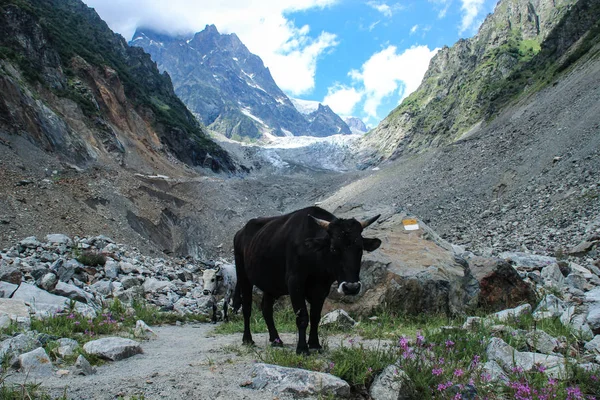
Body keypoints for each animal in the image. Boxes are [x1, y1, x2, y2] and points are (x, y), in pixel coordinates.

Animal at [233, 206, 380, 354]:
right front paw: (302, 348)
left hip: (271, 285)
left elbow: (315, 316)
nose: (351, 287)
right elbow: (302, 317)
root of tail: (240, 232)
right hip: (243, 276)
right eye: (333, 248)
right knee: (247, 307)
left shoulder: (322, 288)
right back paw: (247, 339)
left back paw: (276, 339)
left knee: (266, 309)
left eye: (360, 249)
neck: (315, 257)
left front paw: (315, 344)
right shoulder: (295, 283)